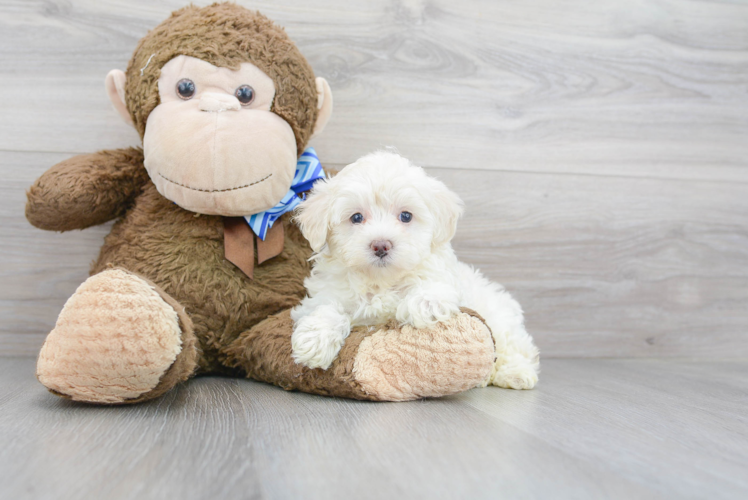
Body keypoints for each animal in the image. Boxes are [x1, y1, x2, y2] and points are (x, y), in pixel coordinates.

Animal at [290, 152, 540, 390]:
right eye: (357, 217)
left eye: (406, 216)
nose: (381, 245)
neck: (381, 281)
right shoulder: (328, 294)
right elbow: (326, 309)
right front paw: (315, 339)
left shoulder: (443, 278)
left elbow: (433, 288)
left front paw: (424, 303)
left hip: (501, 321)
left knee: (514, 347)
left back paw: (516, 374)